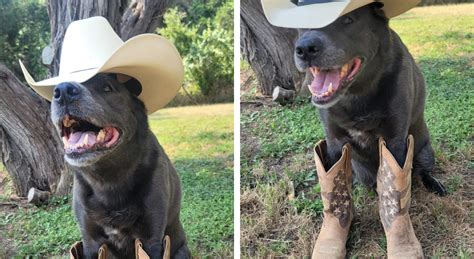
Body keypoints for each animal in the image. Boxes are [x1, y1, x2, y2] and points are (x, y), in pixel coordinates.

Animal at [294, 3, 446, 195]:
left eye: (348, 19)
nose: (305, 49)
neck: (357, 94)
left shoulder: (394, 141)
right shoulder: (334, 142)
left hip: (425, 153)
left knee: (422, 172)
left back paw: (434, 184)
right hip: (362, 171)